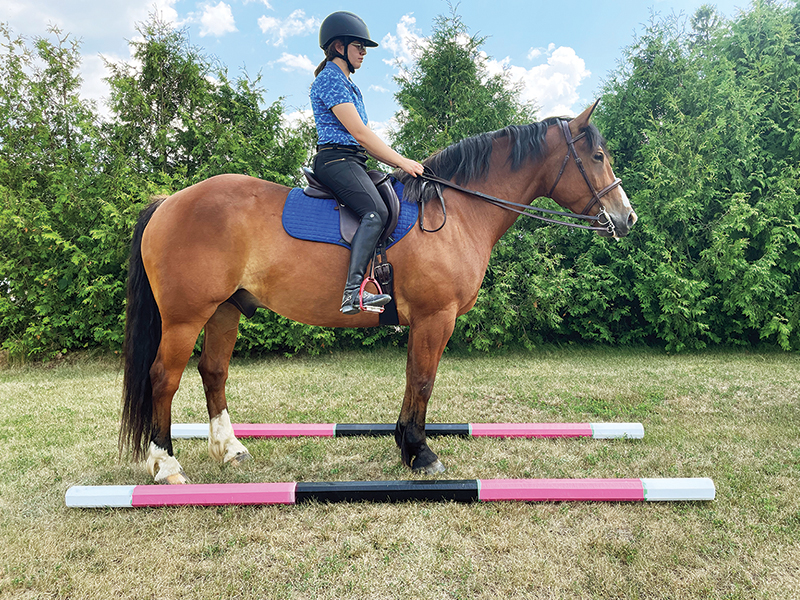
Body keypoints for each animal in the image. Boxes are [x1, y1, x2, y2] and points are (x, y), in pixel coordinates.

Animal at [120, 100, 637, 484]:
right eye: (597, 157)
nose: (626, 217)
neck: (456, 211)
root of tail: (169, 202)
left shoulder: (424, 321)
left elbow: (412, 379)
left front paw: (407, 445)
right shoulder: (435, 317)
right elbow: (423, 380)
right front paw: (421, 451)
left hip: (225, 310)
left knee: (214, 372)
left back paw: (229, 450)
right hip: (186, 316)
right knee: (163, 378)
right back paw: (167, 466)